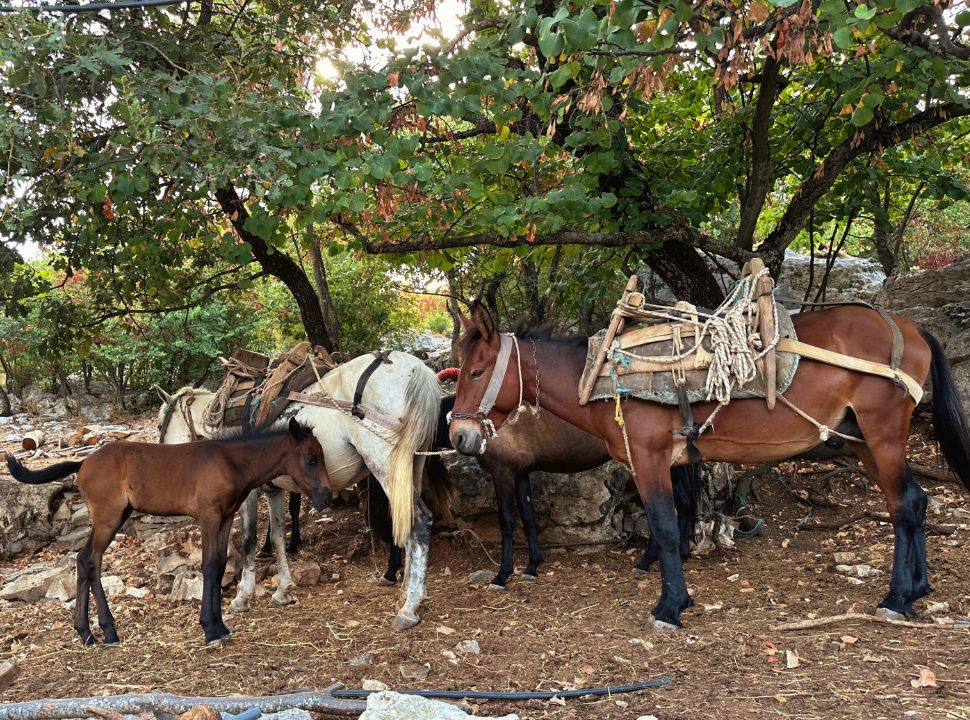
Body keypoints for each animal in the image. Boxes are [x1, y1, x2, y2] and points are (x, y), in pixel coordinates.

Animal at [5, 416, 332, 648]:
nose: (325, 498)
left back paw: (90, 633)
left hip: (115, 516)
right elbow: (209, 566)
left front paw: (220, 626)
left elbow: (219, 565)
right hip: (108, 518)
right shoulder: (209, 515)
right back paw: (104, 631)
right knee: (88, 560)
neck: (231, 462)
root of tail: (83, 462)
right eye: (311, 458)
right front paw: (210, 629)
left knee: (86, 561)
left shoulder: (226, 516)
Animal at [156, 352, 438, 632]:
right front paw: (283, 590)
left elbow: (249, 539)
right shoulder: (275, 491)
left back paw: (409, 607)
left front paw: (242, 597)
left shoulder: (248, 493)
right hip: (411, 467)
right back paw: (406, 590)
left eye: (160, 424)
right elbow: (278, 535)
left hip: (386, 467)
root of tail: (417, 370)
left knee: (419, 520)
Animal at [452, 304, 968, 632]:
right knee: (914, 503)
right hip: (861, 441)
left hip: (881, 436)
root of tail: (911, 327)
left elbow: (663, 526)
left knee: (904, 506)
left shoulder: (649, 457)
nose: (458, 436)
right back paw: (917, 589)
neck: (603, 375)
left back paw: (897, 597)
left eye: (476, 372)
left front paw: (670, 607)